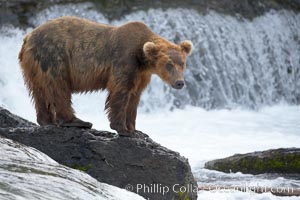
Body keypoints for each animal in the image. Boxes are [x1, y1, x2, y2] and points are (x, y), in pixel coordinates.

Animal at [18, 16, 192, 137]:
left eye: (182, 63)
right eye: (168, 64)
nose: (179, 82)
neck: (142, 59)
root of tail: (28, 37)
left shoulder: (141, 75)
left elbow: (134, 98)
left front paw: (136, 130)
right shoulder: (124, 61)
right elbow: (120, 93)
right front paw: (122, 128)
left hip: (33, 67)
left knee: (39, 91)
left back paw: (47, 121)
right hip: (53, 56)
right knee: (58, 87)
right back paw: (78, 122)